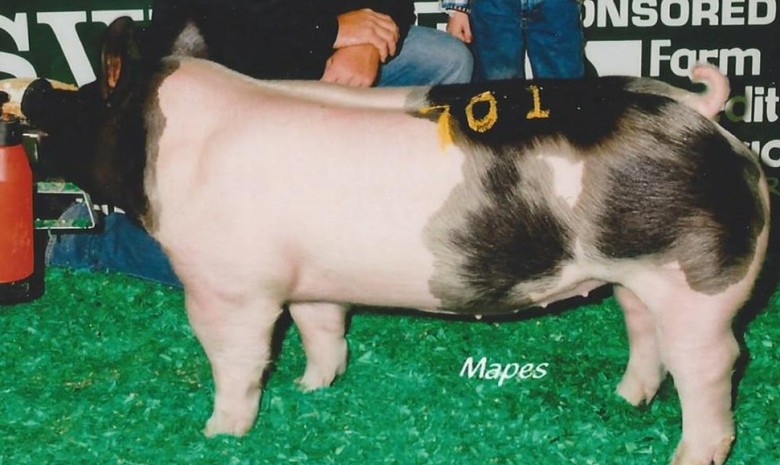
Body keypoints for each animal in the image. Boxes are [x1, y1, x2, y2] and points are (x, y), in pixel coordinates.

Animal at [4, 17, 768, 464]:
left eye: (75, 100)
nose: (31, 90)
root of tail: (701, 113)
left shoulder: (227, 287)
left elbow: (238, 361)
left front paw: (219, 433)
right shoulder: (308, 278)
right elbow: (323, 329)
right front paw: (313, 389)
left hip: (700, 281)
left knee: (715, 365)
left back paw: (686, 454)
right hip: (638, 273)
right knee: (644, 332)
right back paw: (626, 398)